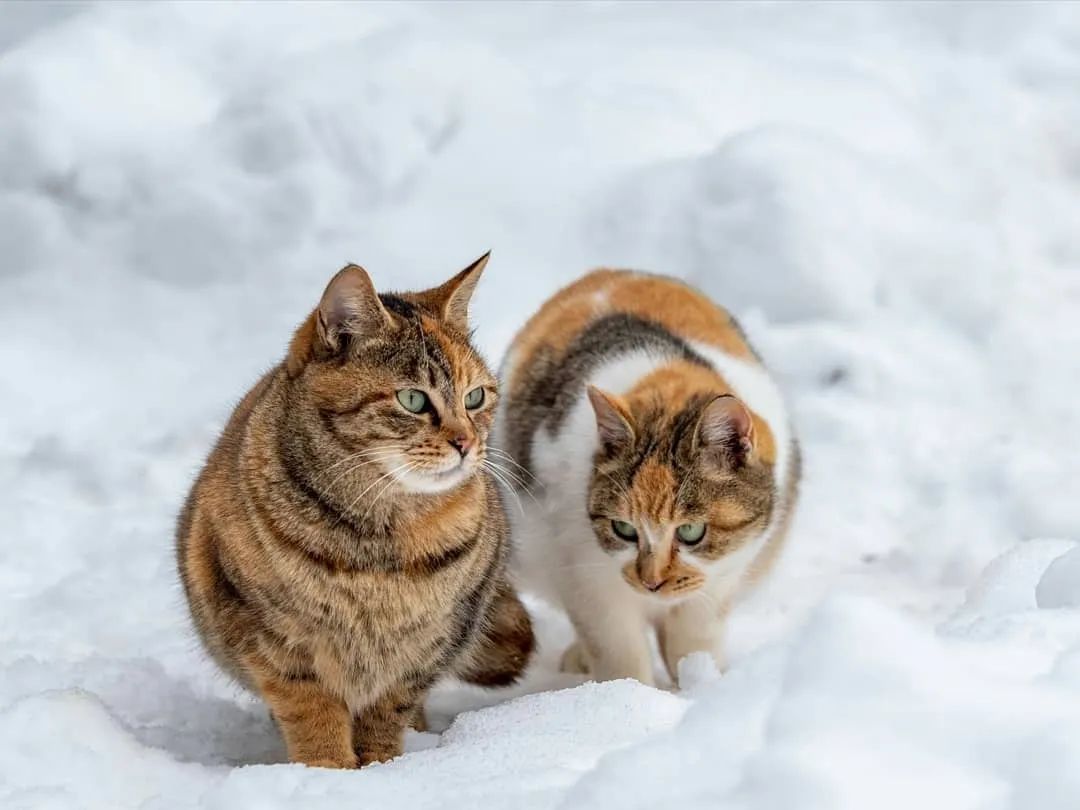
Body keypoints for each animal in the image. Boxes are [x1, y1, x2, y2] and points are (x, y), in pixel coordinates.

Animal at [174, 257, 537, 768]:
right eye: (413, 399)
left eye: (475, 397)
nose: (467, 443)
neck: (380, 541)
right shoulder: (273, 641)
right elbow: (311, 712)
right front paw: (327, 772)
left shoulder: (426, 647)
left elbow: (388, 711)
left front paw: (383, 766)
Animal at [494, 271, 794, 686]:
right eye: (623, 529)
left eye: (691, 532)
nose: (651, 582)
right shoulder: (584, 574)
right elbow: (618, 649)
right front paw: (628, 694)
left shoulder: (722, 577)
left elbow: (694, 640)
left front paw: (699, 685)